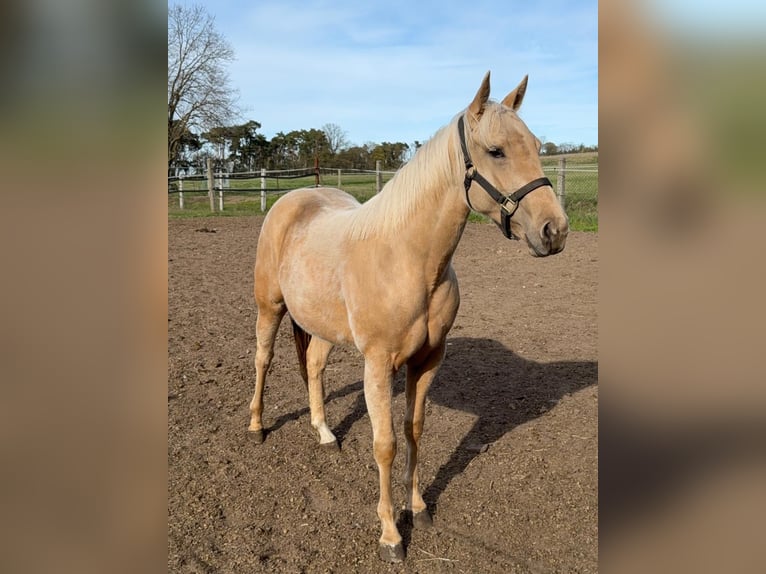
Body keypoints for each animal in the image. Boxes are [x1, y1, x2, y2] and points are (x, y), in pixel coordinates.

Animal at [248, 72, 569, 562]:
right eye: (496, 150)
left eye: (535, 144)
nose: (555, 230)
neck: (407, 258)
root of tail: (295, 197)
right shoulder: (378, 365)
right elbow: (386, 445)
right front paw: (390, 535)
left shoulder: (428, 360)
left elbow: (414, 430)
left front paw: (417, 509)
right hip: (270, 306)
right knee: (263, 359)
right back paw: (256, 427)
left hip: (322, 325)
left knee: (315, 365)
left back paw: (324, 432)